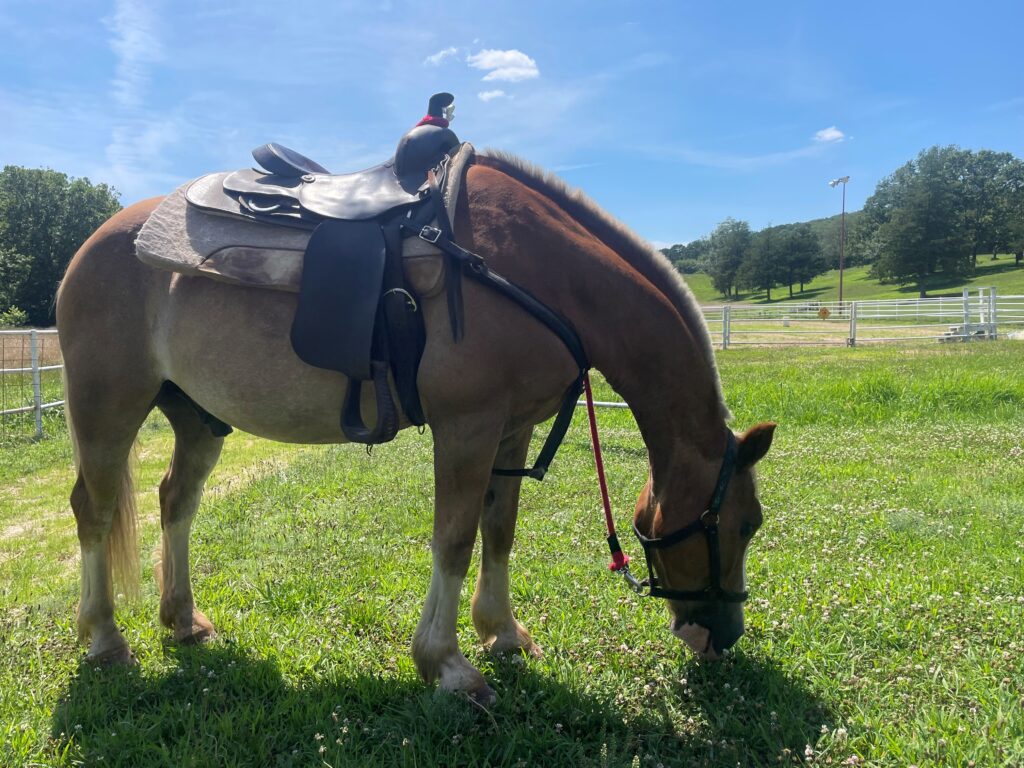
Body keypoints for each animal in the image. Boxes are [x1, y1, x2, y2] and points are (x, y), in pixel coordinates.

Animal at [56, 149, 775, 704]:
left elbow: (498, 530)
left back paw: (181, 620)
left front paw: (502, 631)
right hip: (107, 405)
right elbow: (453, 540)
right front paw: (448, 665)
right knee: (93, 509)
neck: (543, 274)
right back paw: (105, 638)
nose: (724, 637)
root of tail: (95, 242)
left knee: (175, 500)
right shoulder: (468, 426)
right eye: (745, 524)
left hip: (198, 418)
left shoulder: (511, 430)